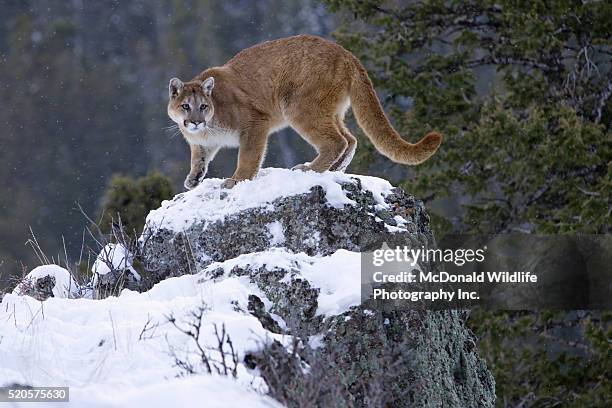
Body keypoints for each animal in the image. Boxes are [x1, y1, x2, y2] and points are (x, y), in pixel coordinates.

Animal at [167, 35, 442, 190]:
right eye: (185, 106)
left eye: (203, 106)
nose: (194, 122)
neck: (209, 126)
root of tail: (345, 52)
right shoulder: (202, 143)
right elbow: (199, 159)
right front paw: (193, 179)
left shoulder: (255, 124)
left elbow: (248, 156)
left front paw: (237, 180)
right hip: (329, 110)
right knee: (350, 139)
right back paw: (332, 169)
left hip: (299, 108)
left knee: (336, 141)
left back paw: (309, 169)